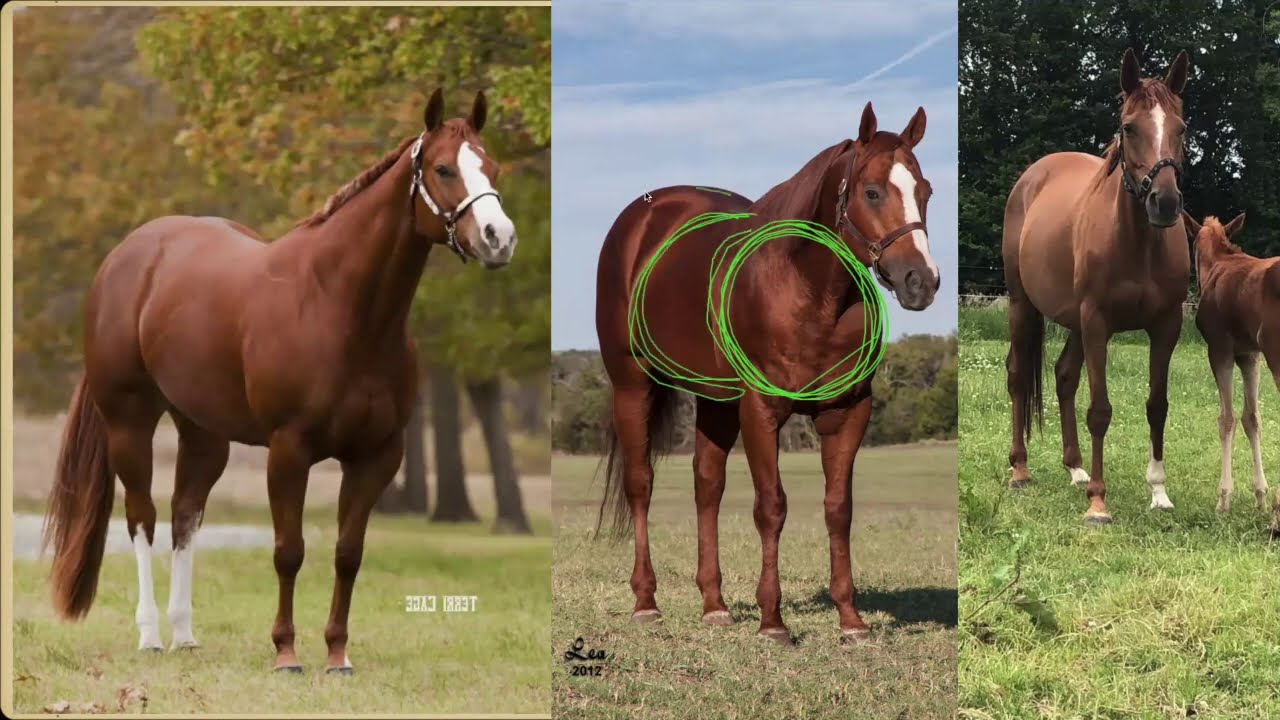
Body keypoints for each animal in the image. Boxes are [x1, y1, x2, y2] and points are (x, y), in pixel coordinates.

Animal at [42, 89, 517, 674]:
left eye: (492, 166)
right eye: (444, 168)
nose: (499, 239)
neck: (339, 307)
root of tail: (125, 258)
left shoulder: (378, 455)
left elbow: (348, 554)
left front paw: (337, 654)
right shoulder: (289, 450)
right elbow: (289, 552)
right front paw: (286, 652)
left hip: (204, 433)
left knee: (184, 516)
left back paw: (185, 635)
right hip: (129, 422)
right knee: (142, 518)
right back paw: (151, 635)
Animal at [594, 102, 942, 645]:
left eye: (924, 191)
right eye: (872, 191)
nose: (921, 282)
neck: (807, 287)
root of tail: (641, 219)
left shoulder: (847, 412)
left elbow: (838, 509)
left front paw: (851, 620)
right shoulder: (761, 409)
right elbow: (771, 506)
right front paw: (773, 622)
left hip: (715, 400)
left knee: (707, 485)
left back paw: (714, 605)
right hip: (633, 385)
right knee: (640, 483)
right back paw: (646, 602)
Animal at [1002, 49, 1191, 524]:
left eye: (1181, 128)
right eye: (1129, 127)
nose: (1165, 203)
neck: (1138, 244)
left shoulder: (1167, 327)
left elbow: (1157, 406)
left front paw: (1158, 492)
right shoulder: (1097, 321)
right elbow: (1101, 410)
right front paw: (1099, 503)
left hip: (1073, 321)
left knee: (1064, 377)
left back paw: (1076, 468)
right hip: (1023, 305)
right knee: (1018, 376)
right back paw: (1020, 470)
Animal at [1185, 212, 1280, 531]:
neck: (1215, 264)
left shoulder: (1220, 349)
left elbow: (1226, 418)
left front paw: (1224, 498)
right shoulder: (1250, 355)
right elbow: (1252, 418)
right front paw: (1261, 496)